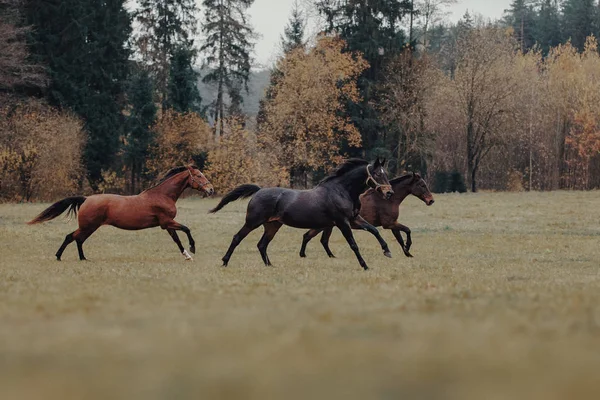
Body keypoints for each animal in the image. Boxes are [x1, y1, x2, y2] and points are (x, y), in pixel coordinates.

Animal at [29, 165, 216, 260]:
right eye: (199, 176)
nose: (211, 190)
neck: (162, 195)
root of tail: (86, 199)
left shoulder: (166, 224)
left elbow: (176, 239)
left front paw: (187, 255)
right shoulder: (167, 222)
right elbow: (186, 229)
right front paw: (192, 248)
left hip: (89, 227)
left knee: (77, 239)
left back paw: (82, 258)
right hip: (89, 226)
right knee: (72, 237)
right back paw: (60, 256)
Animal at [209, 158, 396, 270]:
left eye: (386, 173)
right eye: (377, 174)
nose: (389, 193)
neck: (342, 191)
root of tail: (259, 190)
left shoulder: (354, 219)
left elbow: (374, 230)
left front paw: (387, 251)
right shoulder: (343, 222)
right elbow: (353, 244)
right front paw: (365, 265)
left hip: (272, 225)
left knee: (262, 244)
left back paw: (270, 266)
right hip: (253, 222)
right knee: (237, 238)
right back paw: (225, 261)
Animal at [298, 172, 432, 260]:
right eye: (422, 185)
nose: (431, 200)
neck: (388, 199)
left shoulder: (393, 224)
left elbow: (400, 238)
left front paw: (408, 253)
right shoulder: (389, 224)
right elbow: (408, 230)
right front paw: (407, 248)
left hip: (327, 226)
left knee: (319, 239)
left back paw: (329, 256)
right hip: (323, 226)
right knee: (310, 237)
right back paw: (305, 255)